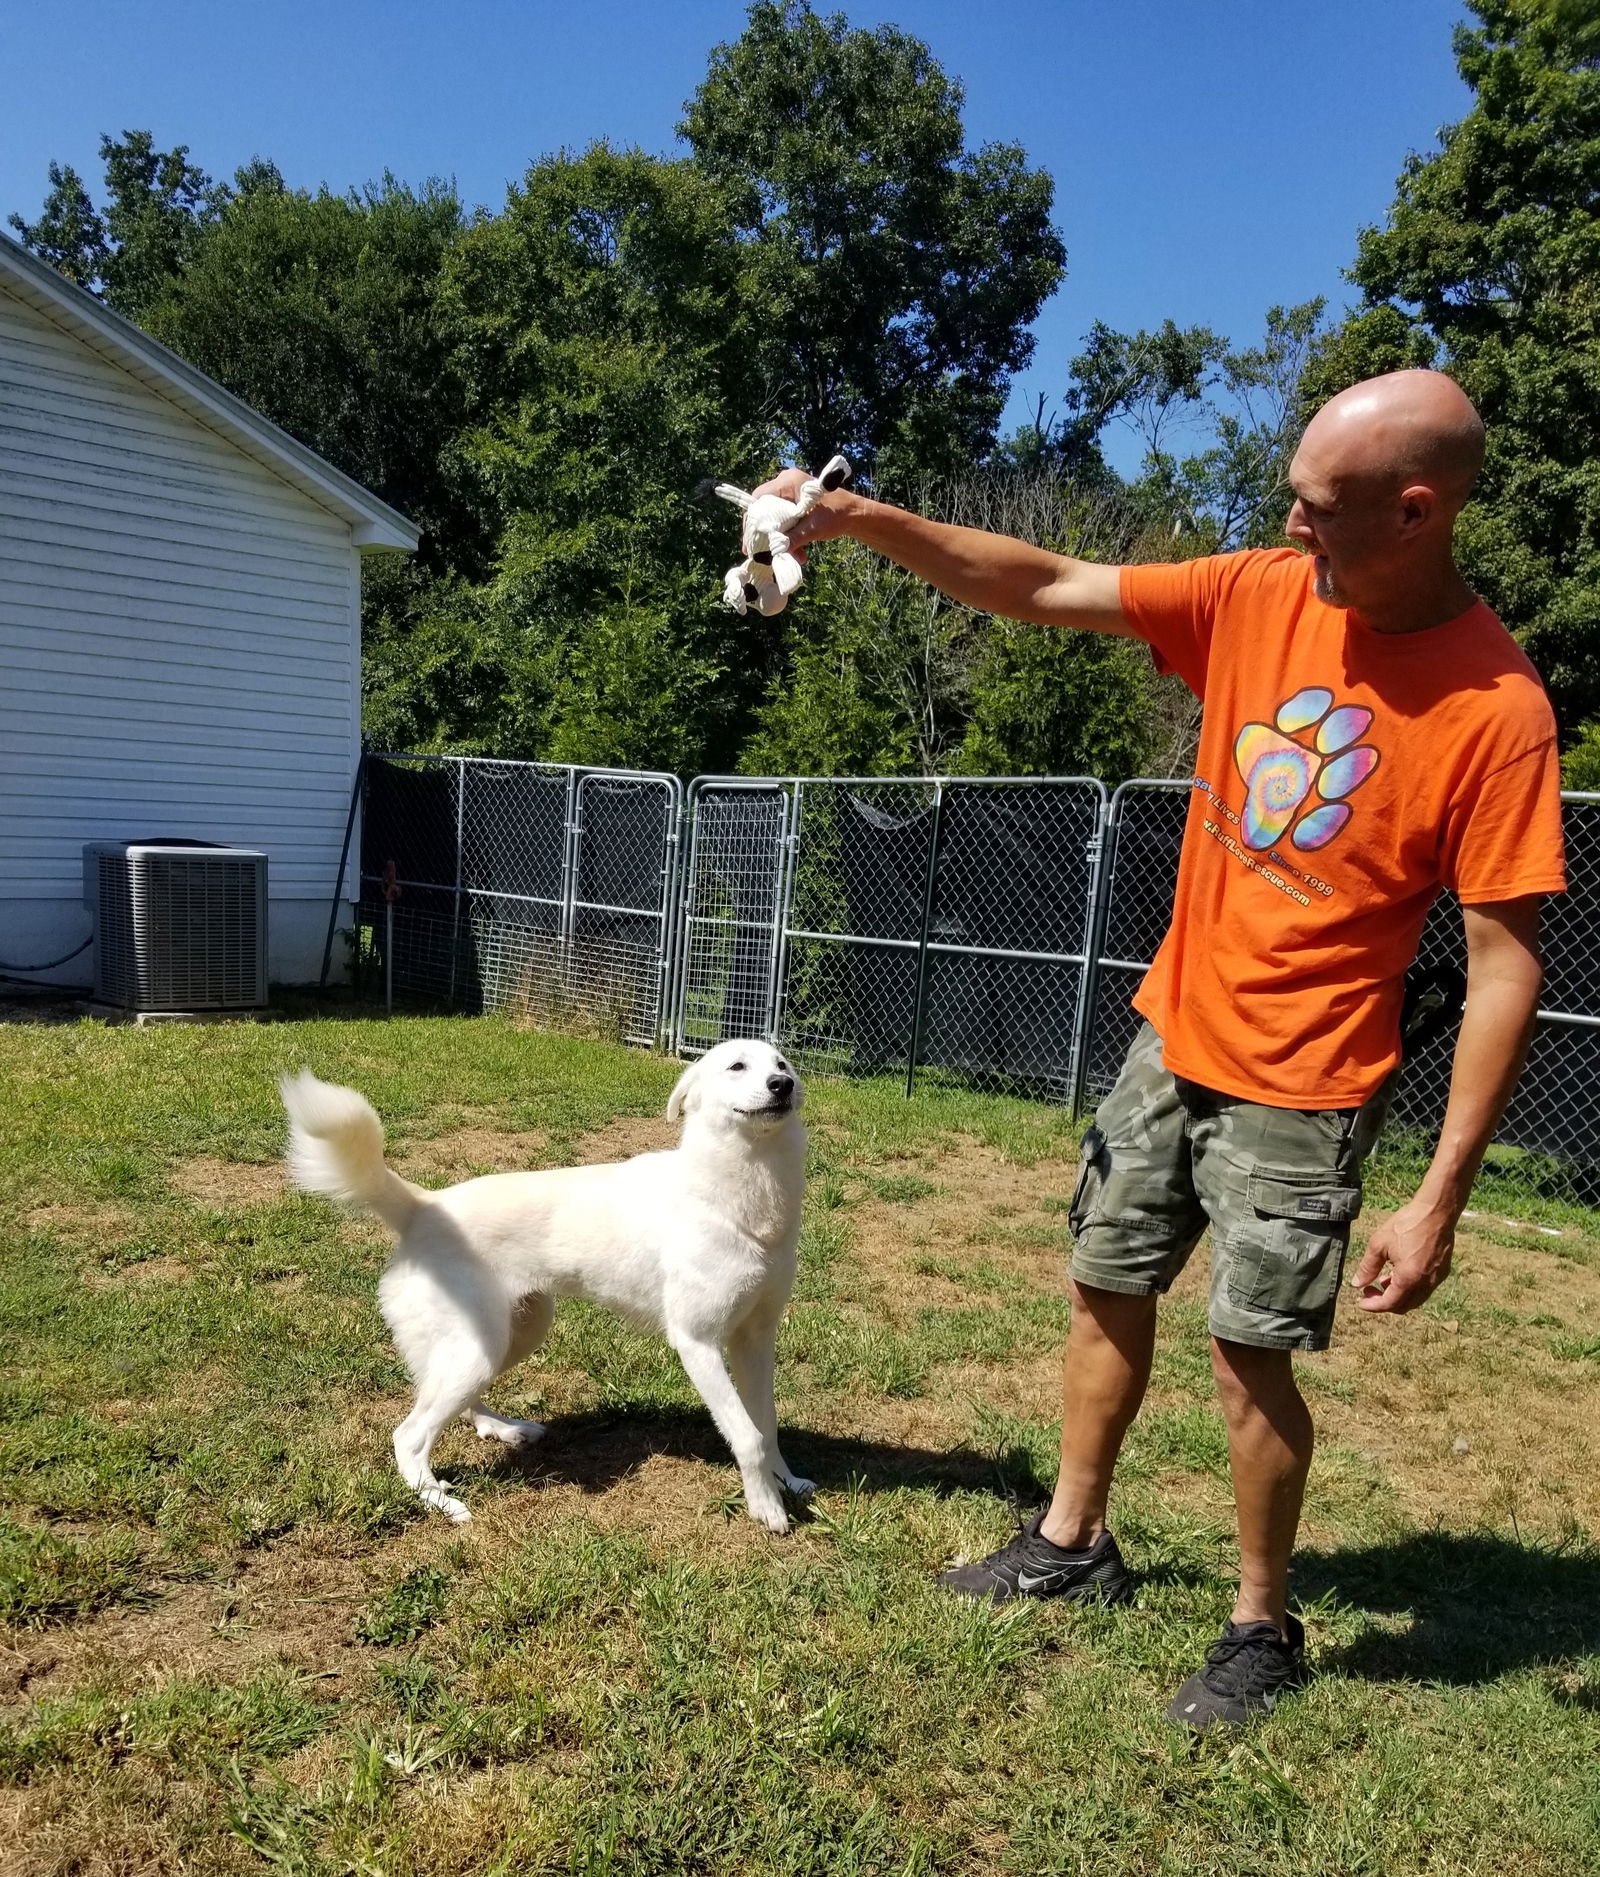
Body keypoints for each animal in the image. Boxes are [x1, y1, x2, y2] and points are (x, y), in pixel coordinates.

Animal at [274, 1036, 811, 1531]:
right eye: (737, 1066)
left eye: (782, 1064)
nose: (781, 1086)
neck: (736, 1197)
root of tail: (424, 1205)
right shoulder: (698, 1343)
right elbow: (747, 1435)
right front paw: (767, 1507)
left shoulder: (755, 1340)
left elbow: (767, 1424)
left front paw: (787, 1482)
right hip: (479, 1348)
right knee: (409, 1435)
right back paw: (440, 1500)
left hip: (512, 1336)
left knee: (456, 1405)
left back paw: (503, 1429)